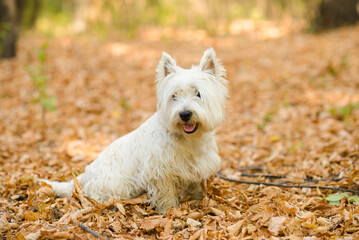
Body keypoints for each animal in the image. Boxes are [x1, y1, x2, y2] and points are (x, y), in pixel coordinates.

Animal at [41, 47, 228, 213]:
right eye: (173, 96)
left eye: (198, 93)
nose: (184, 114)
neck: (189, 140)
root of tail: (85, 175)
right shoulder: (160, 172)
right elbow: (166, 194)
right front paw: (169, 210)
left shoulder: (196, 168)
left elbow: (194, 185)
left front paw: (197, 198)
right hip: (117, 185)